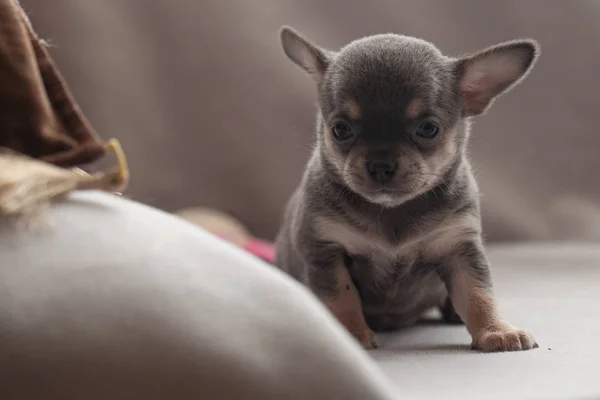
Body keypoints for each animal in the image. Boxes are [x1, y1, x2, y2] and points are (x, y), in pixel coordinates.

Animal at [274, 25, 540, 352]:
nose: (380, 165)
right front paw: (351, 334)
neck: (392, 211)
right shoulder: (326, 252)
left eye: (428, 129)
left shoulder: (459, 248)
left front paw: (495, 330)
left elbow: (478, 293)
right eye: (340, 130)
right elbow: (342, 298)